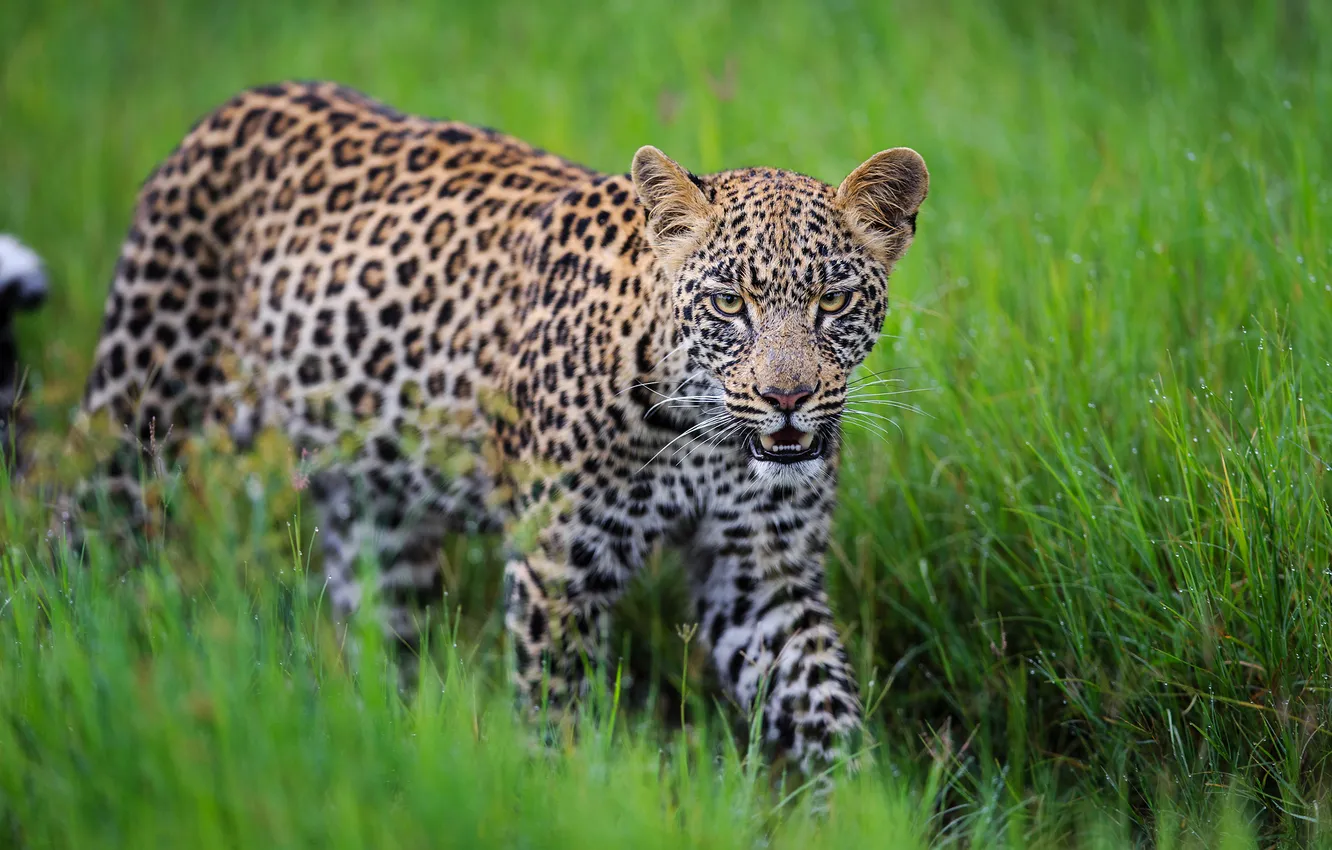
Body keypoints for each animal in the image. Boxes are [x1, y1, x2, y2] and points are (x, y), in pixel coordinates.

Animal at [75, 81, 928, 794]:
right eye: (728, 303)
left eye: (833, 300)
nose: (788, 398)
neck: (699, 431)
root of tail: (239, 101)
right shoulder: (559, 565)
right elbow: (557, 711)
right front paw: (565, 799)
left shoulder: (760, 574)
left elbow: (825, 708)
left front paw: (866, 812)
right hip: (139, 410)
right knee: (84, 534)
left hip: (380, 515)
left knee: (381, 640)